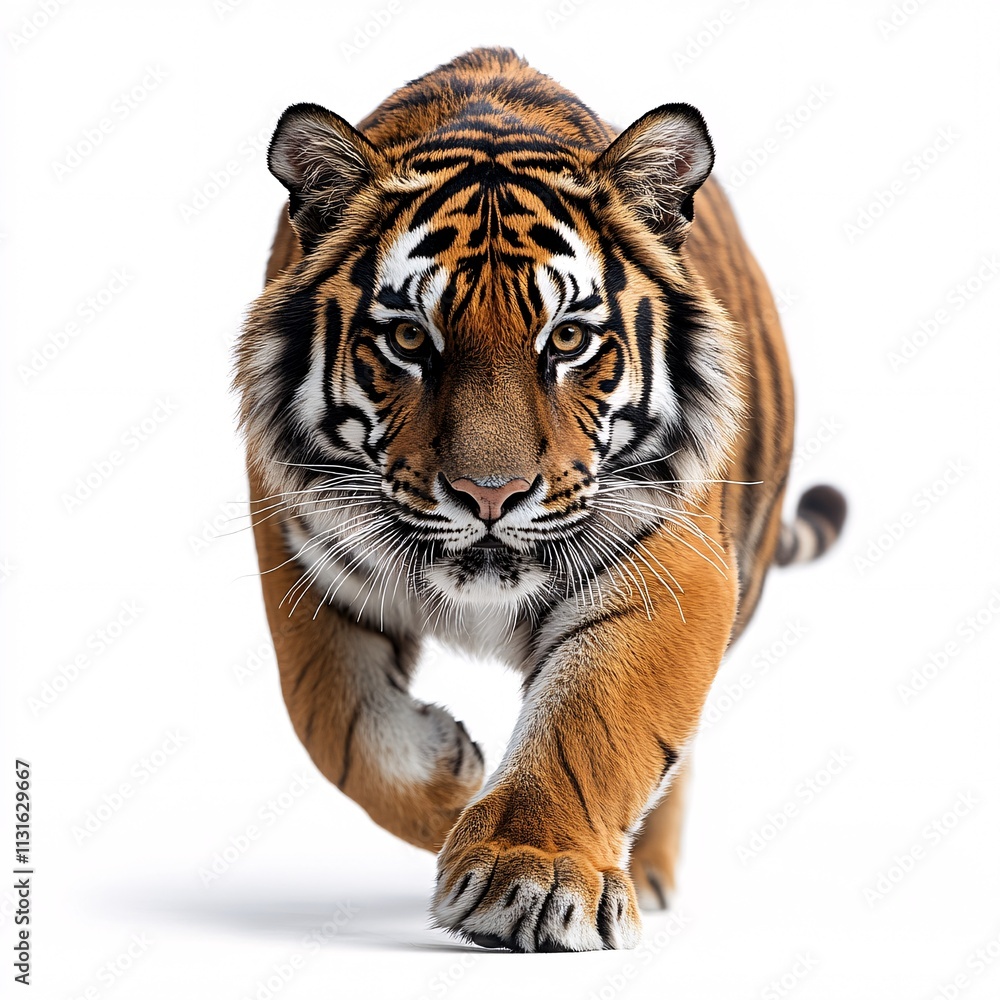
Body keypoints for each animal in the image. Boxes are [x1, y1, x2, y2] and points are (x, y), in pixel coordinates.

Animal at [235, 47, 846, 953]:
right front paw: (453, 785)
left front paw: (531, 874)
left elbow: (597, 721)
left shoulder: (671, 561)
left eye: (567, 339)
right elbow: (330, 720)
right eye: (409, 338)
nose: (490, 495)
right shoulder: (297, 548)